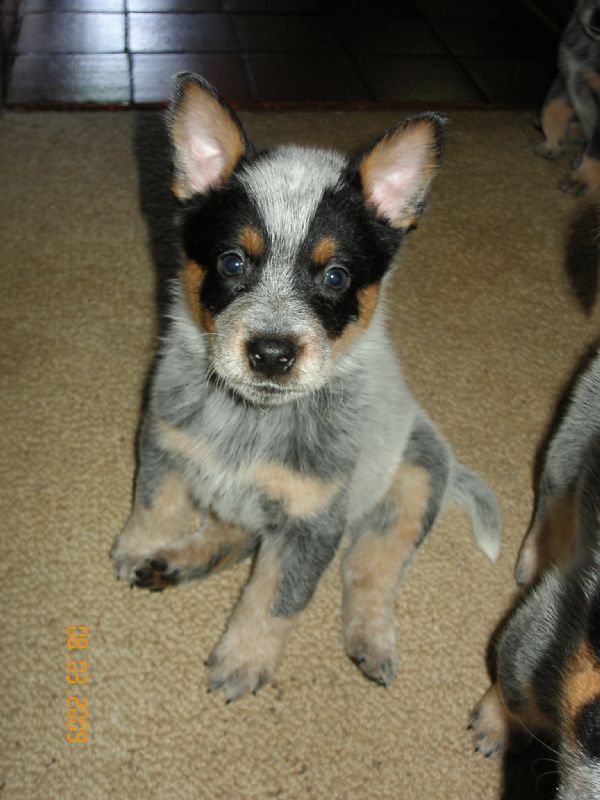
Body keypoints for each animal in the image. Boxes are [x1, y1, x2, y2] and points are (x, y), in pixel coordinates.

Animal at [111, 73, 502, 702]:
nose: (272, 353)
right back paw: (176, 560)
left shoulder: (312, 522)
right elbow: (155, 504)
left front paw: (243, 660)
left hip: (414, 482)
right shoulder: (165, 443)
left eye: (335, 275)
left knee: (370, 572)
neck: (251, 421)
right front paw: (142, 547)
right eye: (232, 262)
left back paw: (372, 640)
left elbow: (275, 599)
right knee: (236, 531)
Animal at [536, 0, 600, 195]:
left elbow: (596, 152)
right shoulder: (566, 76)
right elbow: (549, 111)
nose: (596, 20)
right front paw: (553, 145)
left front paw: (583, 179)